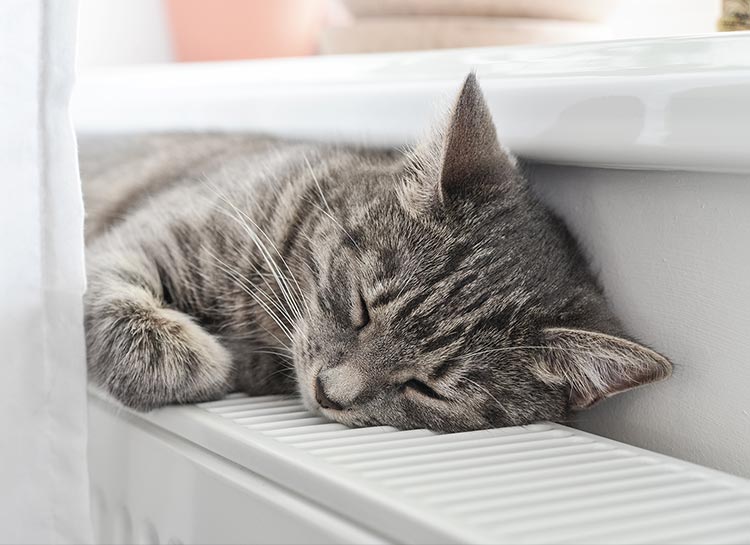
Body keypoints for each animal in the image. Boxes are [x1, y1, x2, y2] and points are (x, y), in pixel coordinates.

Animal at [79, 74, 672, 430]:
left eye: (427, 389)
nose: (328, 392)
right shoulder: (144, 241)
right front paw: (203, 360)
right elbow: (120, 310)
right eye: (362, 307)